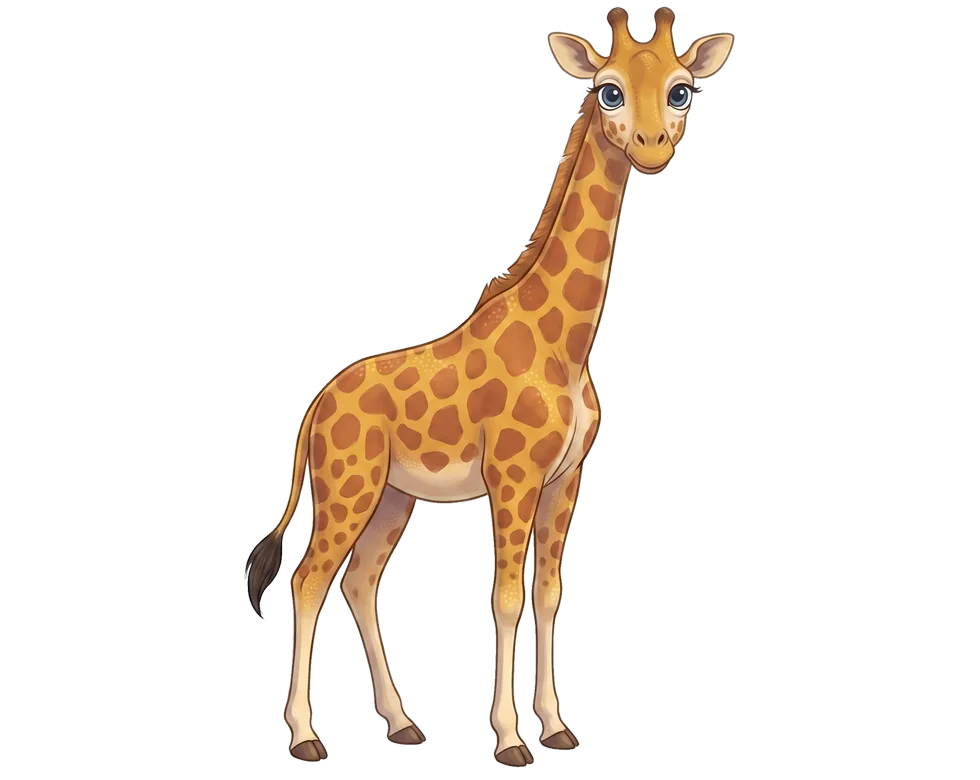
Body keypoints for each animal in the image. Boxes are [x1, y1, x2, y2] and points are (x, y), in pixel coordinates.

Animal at [245, 6, 734, 766]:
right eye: (608, 90)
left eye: (681, 90)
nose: (653, 147)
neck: (563, 344)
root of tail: (318, 403)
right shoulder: (512, 478)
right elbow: (504, 598)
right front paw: (508, 740)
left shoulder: (564, 482)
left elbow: (548, 594)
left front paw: (556, 728)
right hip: (348, 487)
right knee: (308, 580)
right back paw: (305, 738)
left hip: (393, 498)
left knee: (358, 580)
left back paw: (403, 725)